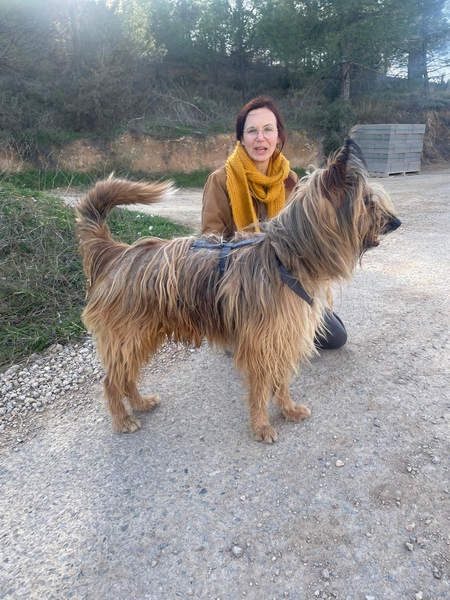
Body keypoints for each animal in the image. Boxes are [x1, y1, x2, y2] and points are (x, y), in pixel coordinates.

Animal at [76, 139, 400, 443]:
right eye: (368, 201)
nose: (396, 222)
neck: (286, 258)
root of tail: (116, 253)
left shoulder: (283, 336)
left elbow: (282, 381)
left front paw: (288, 409)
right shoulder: (261, 343)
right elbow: (260, 389)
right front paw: (261, 426)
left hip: (142, 334)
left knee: (127, 376)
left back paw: (141, 403)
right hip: (128, 335)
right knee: (112, 380)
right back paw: (122, 420)